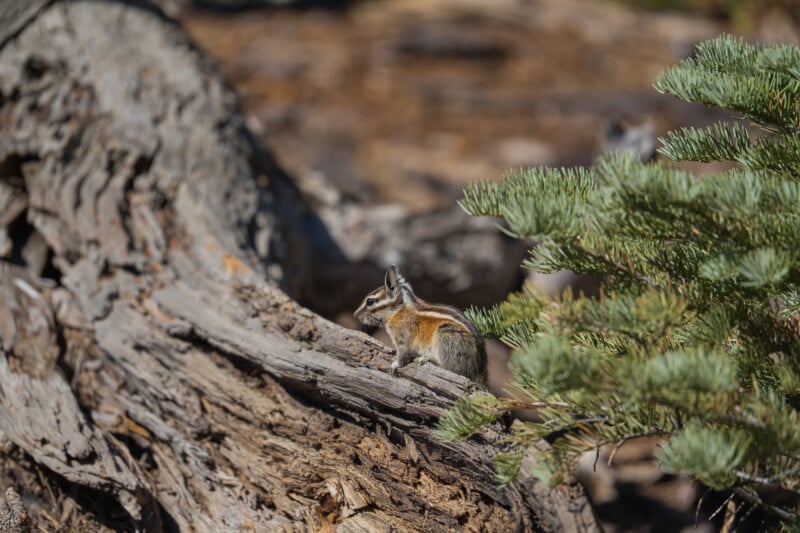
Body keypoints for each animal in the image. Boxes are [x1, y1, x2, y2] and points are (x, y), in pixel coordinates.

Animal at [354, 265, 488, 388]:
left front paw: (395, 364)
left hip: (447, 335)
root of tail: (479, 372)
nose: (355, 315)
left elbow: (402, 353)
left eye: (369, 301)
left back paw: (429, 358)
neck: (398, 310)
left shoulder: (403, 337)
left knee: (455, 370)